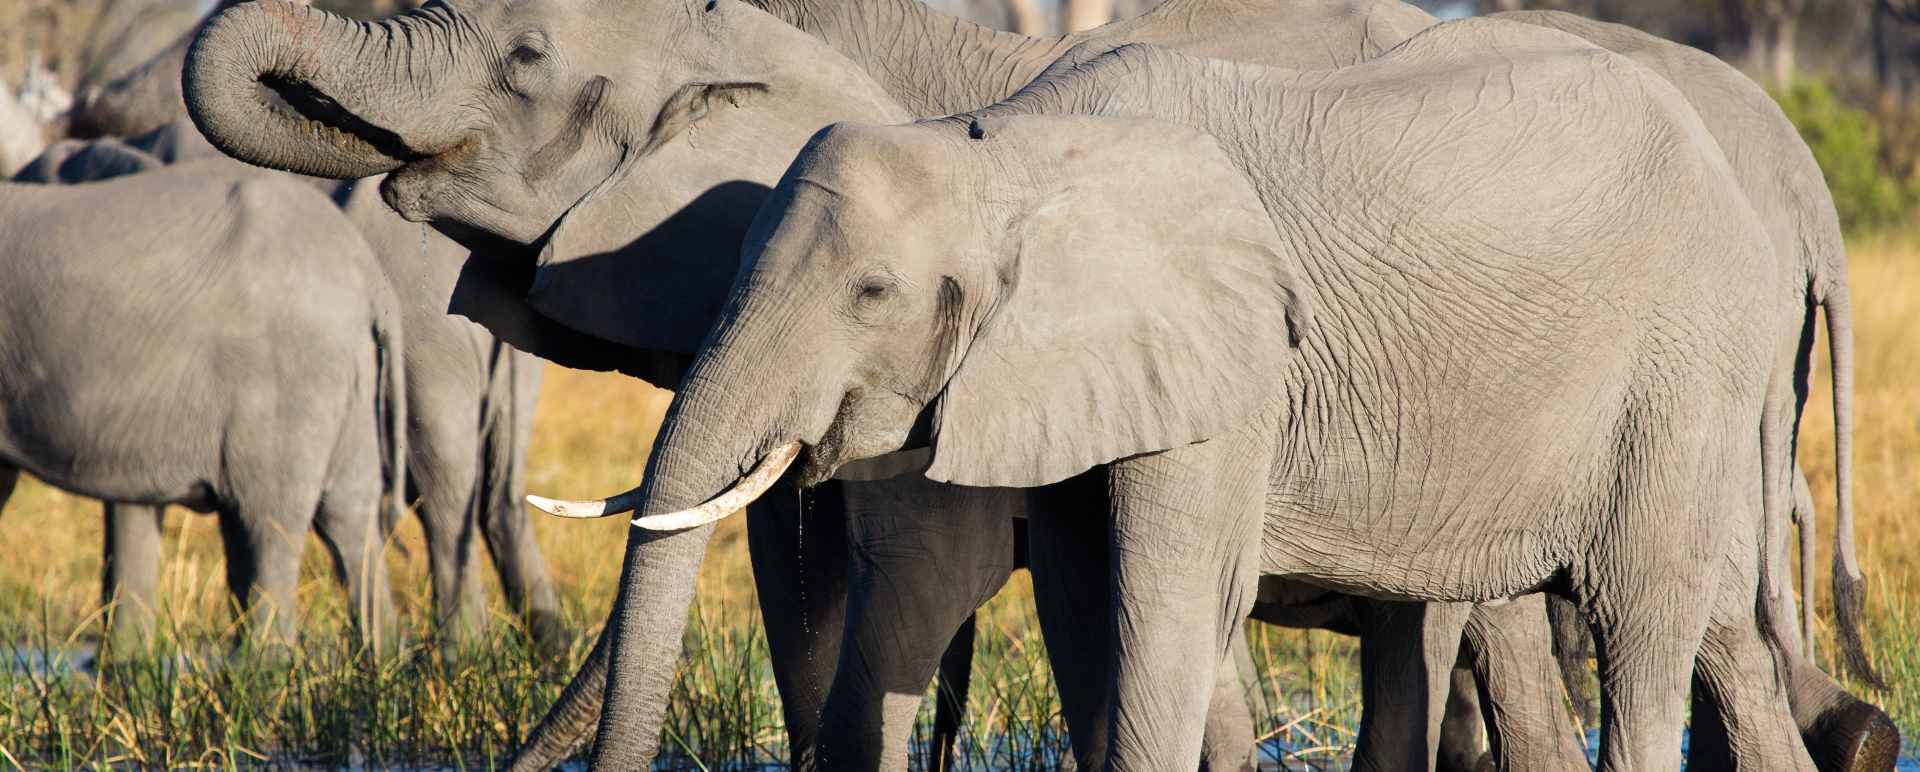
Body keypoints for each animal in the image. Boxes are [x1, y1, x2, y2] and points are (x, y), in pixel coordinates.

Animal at [0, 160, 407, 650]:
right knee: (348, 517)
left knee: (270, 525)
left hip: (289, 378)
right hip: (349, 376)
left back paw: (264, 662)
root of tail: (367, 275)